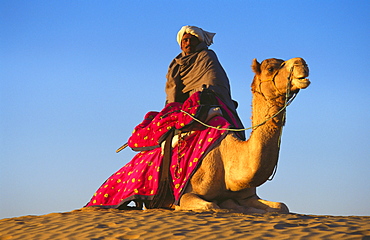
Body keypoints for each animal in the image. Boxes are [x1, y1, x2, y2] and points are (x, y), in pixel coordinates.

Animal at [173, 57, 310, 213]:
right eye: (270, 68)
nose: (301, 63)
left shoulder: (248, 196)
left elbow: (282, 206)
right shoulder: (185, 195)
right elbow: (212, 205)